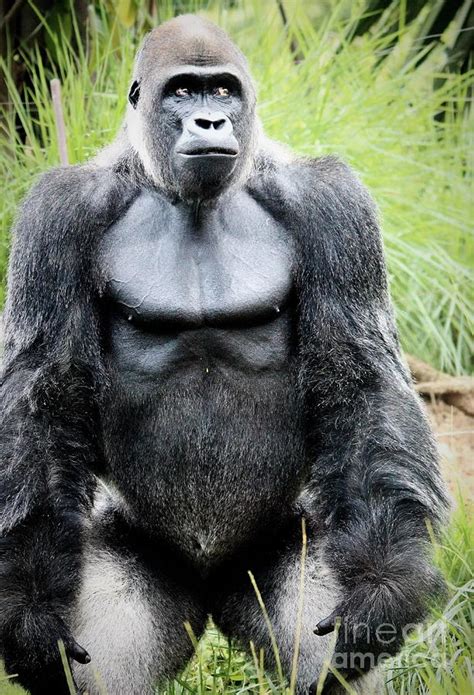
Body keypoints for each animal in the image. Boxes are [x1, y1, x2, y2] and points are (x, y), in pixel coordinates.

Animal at [0, 14, 448, 695]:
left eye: (223, 92)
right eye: (183, 91)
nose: (210, 122)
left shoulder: (332, 202)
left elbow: (362, 380)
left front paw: (383, 588)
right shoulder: (59, 213)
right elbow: (40, 398)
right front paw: (26, 610)